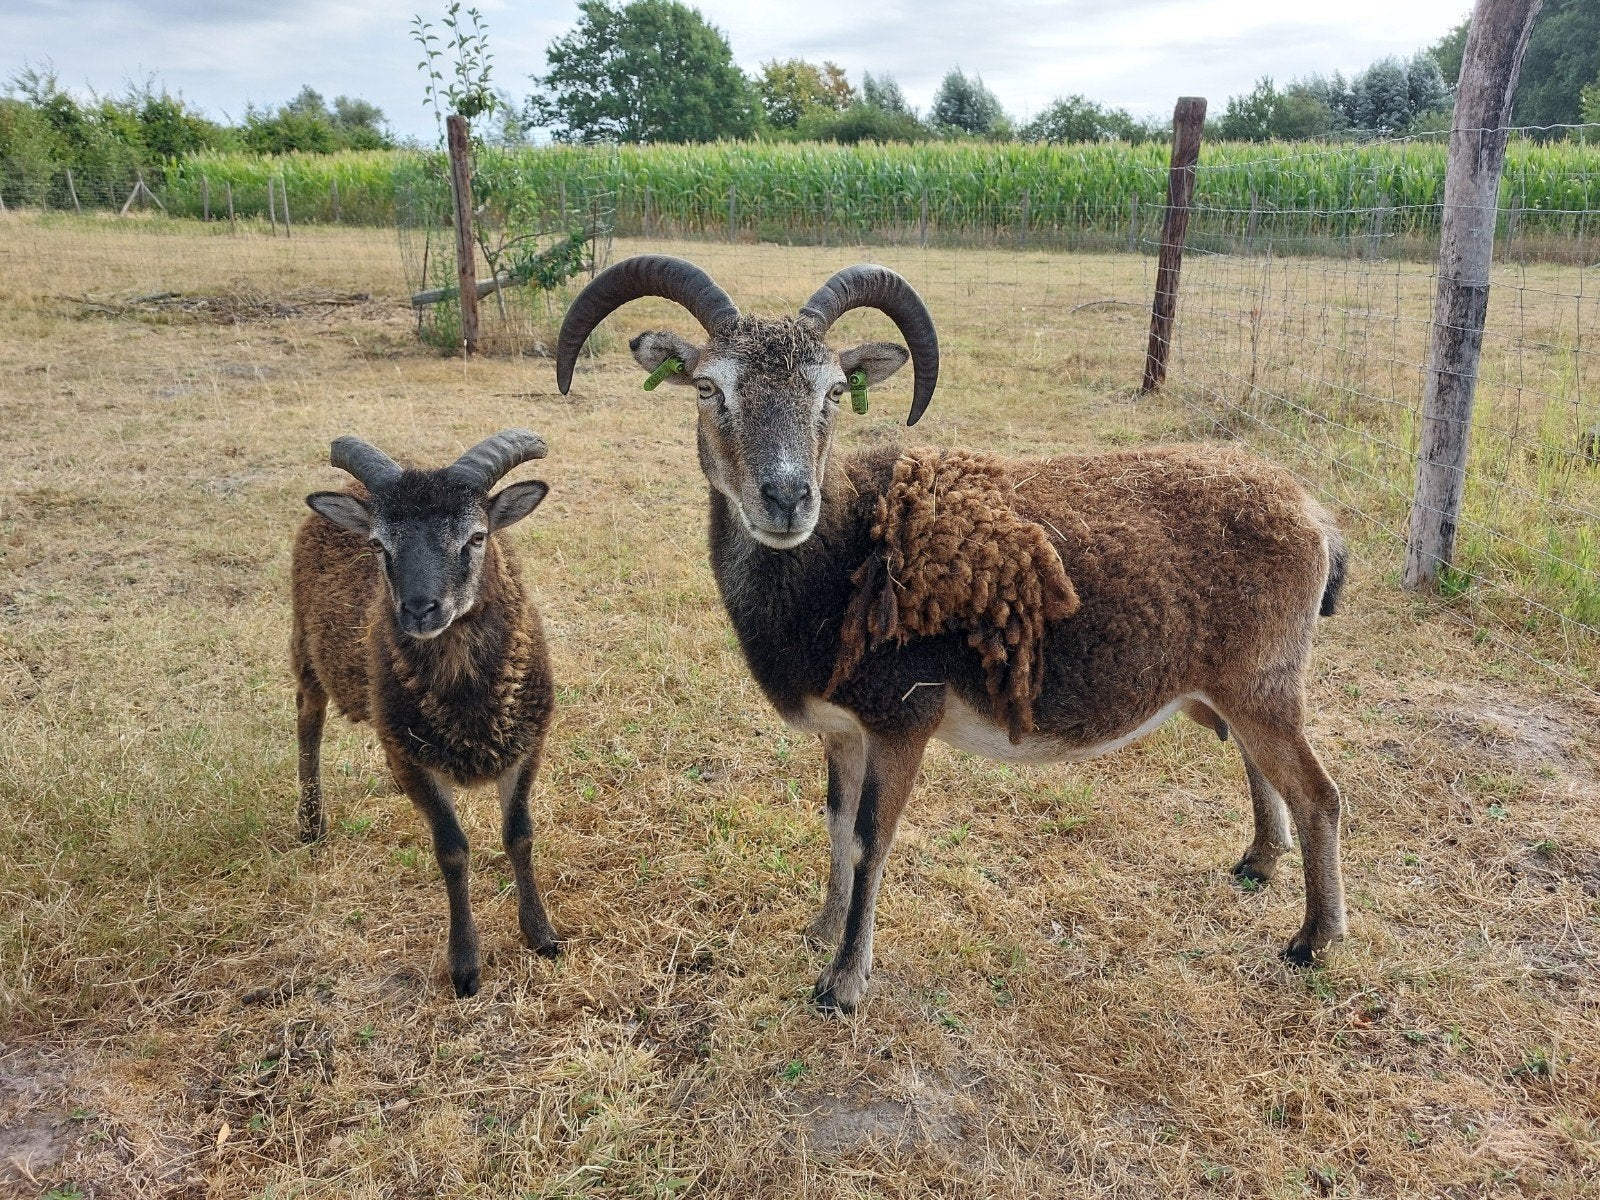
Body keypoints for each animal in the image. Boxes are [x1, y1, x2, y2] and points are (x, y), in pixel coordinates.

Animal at [292, 429, 559, 998]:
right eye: (378, 545)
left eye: (477, 536)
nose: (419, 609)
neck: (468, 703)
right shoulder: (417, 761)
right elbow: (452, 851)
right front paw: (465, 968)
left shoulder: (526, 744)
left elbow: (519, 835)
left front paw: (541, 935)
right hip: (305, 650)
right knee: (308, 723)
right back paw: (310, 824)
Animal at [554, 255, 1349, 1014]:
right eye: (707, 387)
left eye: (833, 392)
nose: (786, 498)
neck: (849, 554)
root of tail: (1315, 516)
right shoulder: (844, 731)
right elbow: (836, 827)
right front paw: (821, 929)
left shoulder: (904, 722)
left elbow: (871, 842)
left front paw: (842, 985)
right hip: (1234, 687)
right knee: (1261, 767)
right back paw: (1257, 863)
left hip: (1264, 683)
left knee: (1319, 794)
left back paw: (1312, 940)